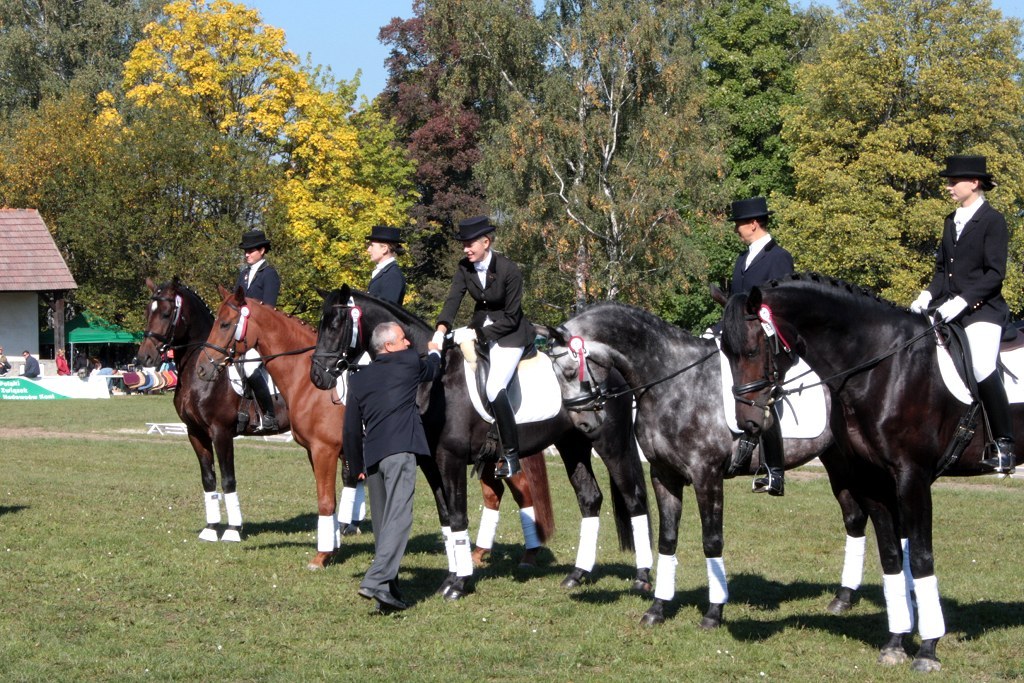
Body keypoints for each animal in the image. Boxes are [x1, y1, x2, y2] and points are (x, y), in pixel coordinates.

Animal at [135, 277, 292, 544]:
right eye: (147, 312)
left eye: (166, 313)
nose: (145, 357)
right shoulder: (195, 433)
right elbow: (208, 479)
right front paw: (211, 528)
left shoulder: (222, 432)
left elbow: (228, 479)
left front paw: (233, 530)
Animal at [310, 287, 653, 599]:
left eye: (335, 324)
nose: (317, 377)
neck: (435, 379)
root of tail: (612, 370)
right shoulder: (430, 463)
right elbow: (446, 518)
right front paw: (451, 578)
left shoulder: (451, 459)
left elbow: (459, 515)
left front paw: (459, 584)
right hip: (573, 446)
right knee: (589, 498)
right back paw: (578, 575)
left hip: (611, 445)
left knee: (634, 498)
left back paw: (642, 578)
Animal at [545, 300, 872, 629]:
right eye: (555, 376)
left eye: (571, 371)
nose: (585, 425)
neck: (674, 385)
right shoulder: (663, 475)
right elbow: (667, 539)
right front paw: (657, 608)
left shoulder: (707, 476)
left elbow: (712, 541)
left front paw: (714, 612)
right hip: (837, 463)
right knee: (854, 518)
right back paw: (843, 598)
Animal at [719, 272, 1021, 672]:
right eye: (726, 353)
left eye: (753, 351)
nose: (748, 423)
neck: (881, 366)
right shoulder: (871, 478)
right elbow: (892, 556)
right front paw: (895, 642)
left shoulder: (912, 476)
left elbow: (920, 557)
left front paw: (928, 650)